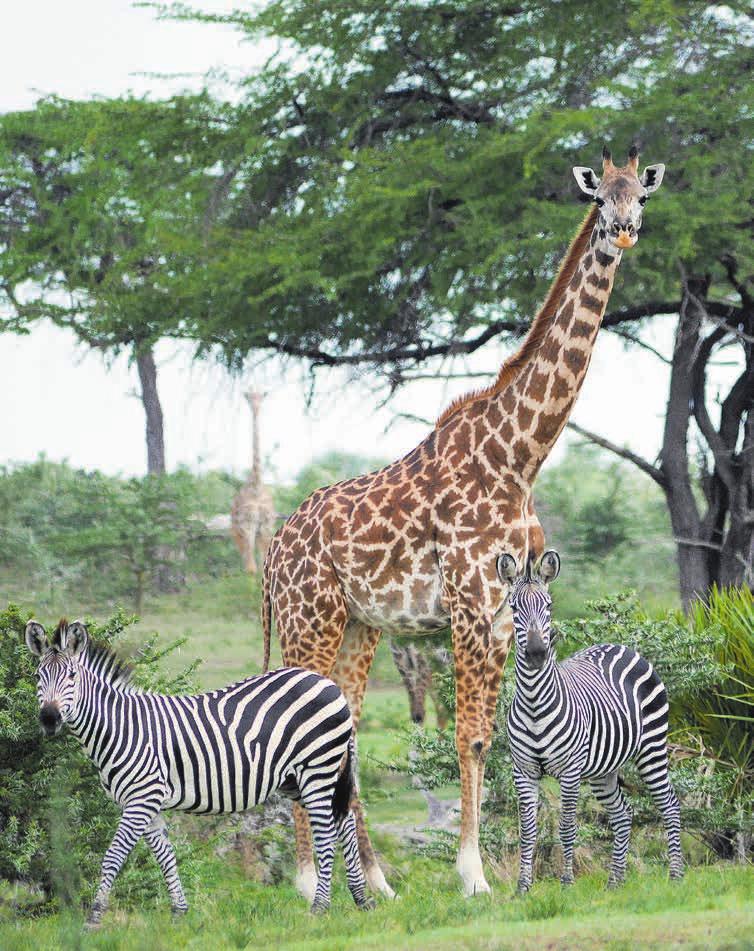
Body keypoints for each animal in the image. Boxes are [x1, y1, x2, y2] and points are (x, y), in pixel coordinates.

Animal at [26, 620, 374, 924]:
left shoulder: (142, 798)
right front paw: (179, 913)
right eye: (38, 676)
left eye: (72, 675)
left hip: (317, 767)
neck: (121, 727)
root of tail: (328, 683)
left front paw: (94, 917)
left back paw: (320, 906)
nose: (49, 718)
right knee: (345, 819)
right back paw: (362, 899)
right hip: (299, 778)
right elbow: (165, 856)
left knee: (326, 831)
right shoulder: (145, 802)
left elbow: (113, 855)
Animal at [231, 390, 278, 576]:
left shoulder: (265, 525)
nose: (256, 407)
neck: (256, 487)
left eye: (261, 397)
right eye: (249, 398)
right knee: (246, 558)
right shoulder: (247, 525)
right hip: (237, 532)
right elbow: (251, 568)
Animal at [496, 556, 684, 896]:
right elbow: (527, 830)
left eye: (549, 606)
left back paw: (676, 876)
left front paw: (567, 883)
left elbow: (567, 828)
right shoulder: (523, 771)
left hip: (652, 748)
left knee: (670, 805)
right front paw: (522, 888)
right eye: (514, 608)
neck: (533, 702)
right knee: (623, 814)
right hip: (602, 770)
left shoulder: (570, 771)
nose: (536, 654)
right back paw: (614, 882)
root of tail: (620, 646)